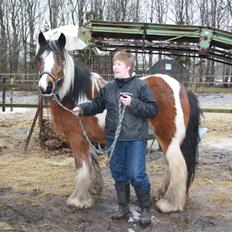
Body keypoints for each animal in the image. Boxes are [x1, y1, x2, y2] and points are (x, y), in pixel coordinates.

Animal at [36, 31, 201, 213]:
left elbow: (82, 168)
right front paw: (94, 189)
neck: (75, 96)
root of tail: (182, 88)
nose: (45, 87)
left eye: (60, 59)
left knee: (177, 166)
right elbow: (93, 164)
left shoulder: (77, 139)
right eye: (39, 58)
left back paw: (169, 203)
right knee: (170, 166)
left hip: (168, 137)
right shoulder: (89, 140)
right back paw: (161, 194)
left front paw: (79, 200)